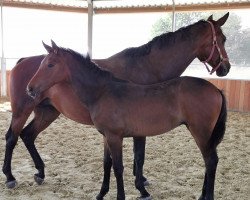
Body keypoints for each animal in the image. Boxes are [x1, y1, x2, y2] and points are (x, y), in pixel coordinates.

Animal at [2, 13, 230, 190]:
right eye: (223, 38)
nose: (225, 68)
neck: (148, 66)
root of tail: (23, 61)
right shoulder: (138, 128)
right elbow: (139, 156)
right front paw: (140, 183)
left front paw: (140, 180)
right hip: (22, 111)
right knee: (12, 137)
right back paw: (10, 177)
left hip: (47, 112)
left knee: (28, 135)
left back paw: (40, 172)